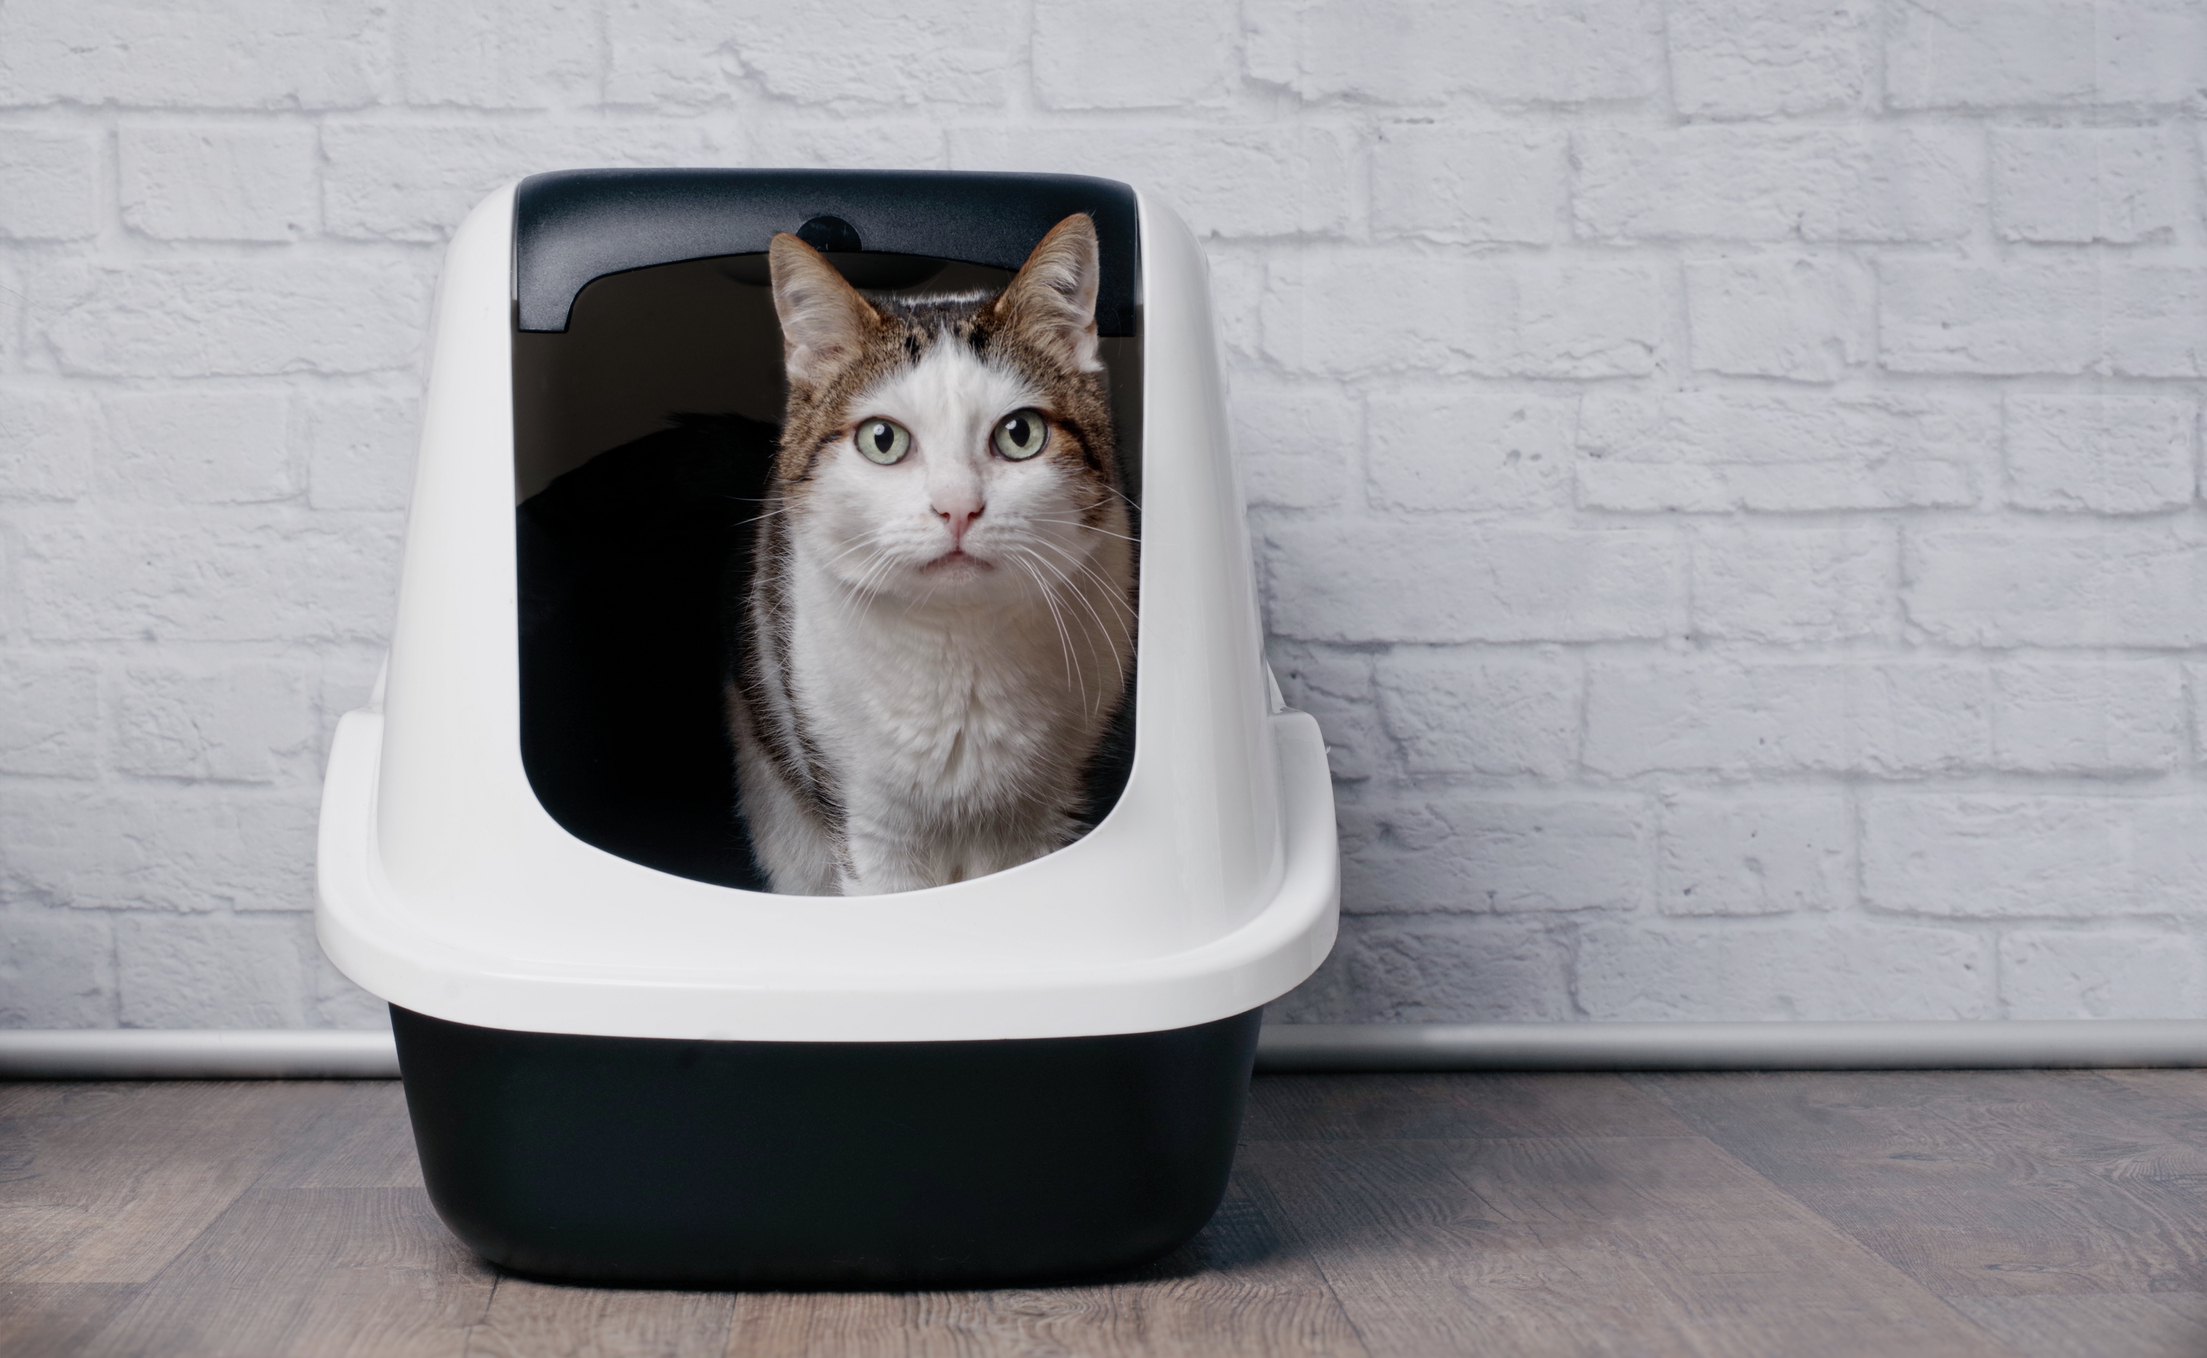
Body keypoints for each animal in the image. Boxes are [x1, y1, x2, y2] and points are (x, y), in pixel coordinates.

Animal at [728, 215, 1138, 905]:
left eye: (1020, 434)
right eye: (882, 439)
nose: (957, 508)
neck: (957, 641)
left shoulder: (1045, 817)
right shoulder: (870, 829)